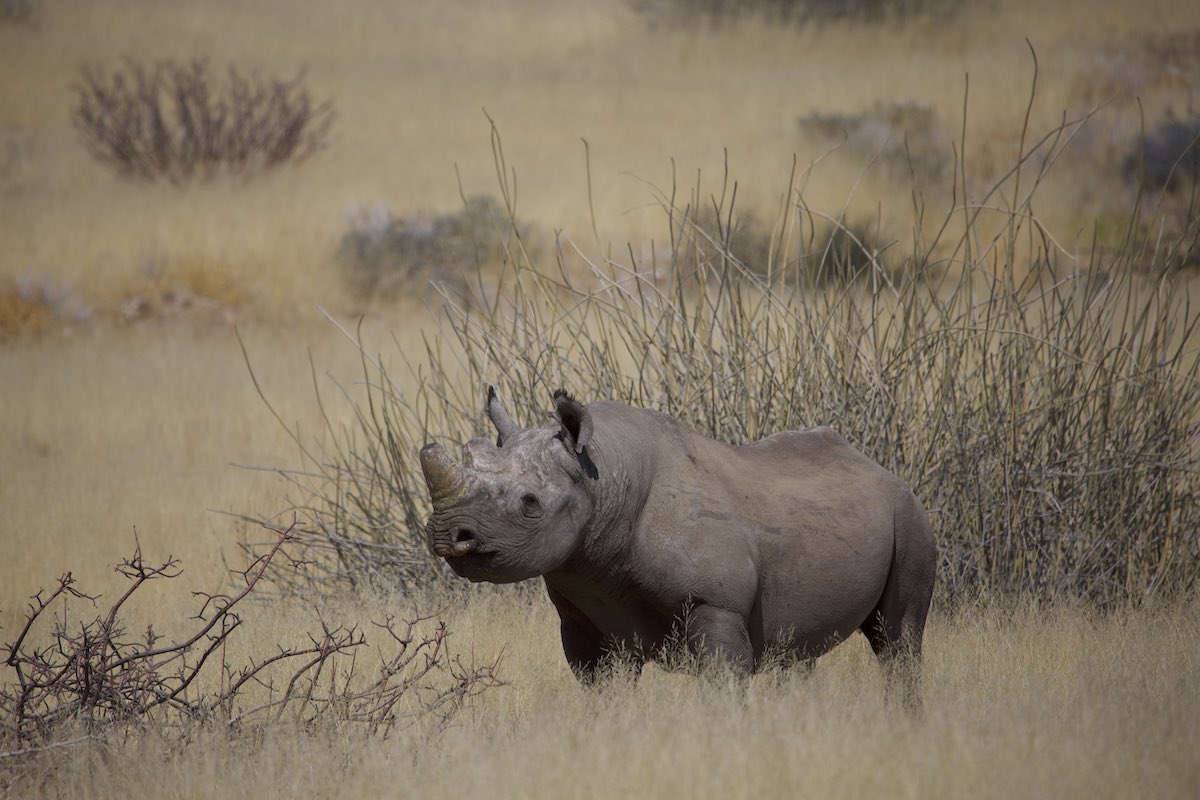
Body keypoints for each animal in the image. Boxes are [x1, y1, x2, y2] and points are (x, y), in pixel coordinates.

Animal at [420, 388, 936, 703]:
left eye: (530, 503)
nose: (447, 534)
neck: (603, 474)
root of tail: (879, 468)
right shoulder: (583, 614)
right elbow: (602, 689)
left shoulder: (716, 603)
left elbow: (723, 681)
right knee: (796, 651)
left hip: (910, 515)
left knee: (898, 639)